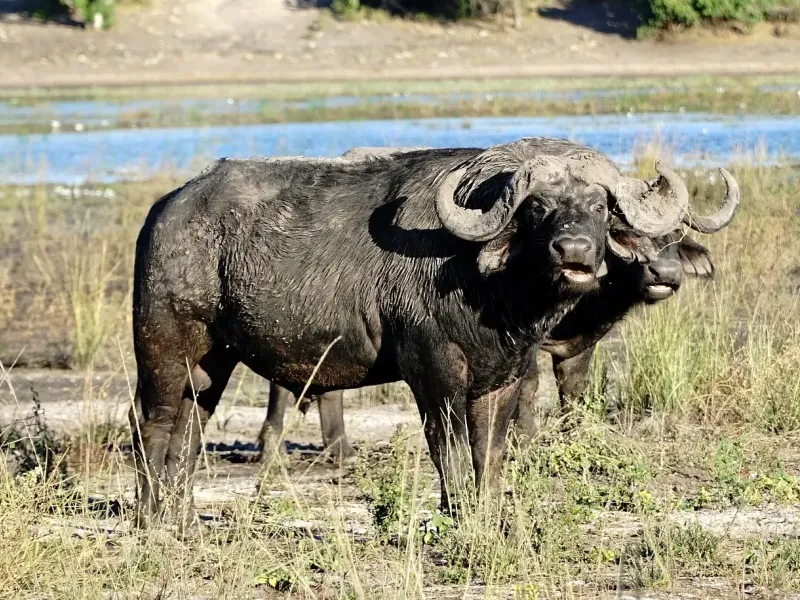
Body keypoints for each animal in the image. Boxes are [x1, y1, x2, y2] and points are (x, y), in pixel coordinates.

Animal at [130, 138, 737, 529]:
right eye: (538, 207)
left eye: (598, 207)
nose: (574, 252)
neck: (490, 289)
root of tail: (166, 209)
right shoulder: (434, 371)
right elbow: (449, 449)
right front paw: (455, 515)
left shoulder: (505, 376)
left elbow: (490, 452)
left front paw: (487, 518)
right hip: (162, 347)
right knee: (151, 424)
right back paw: (147, 517)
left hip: (213, 362)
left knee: (189, 430)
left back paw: (183, 517)